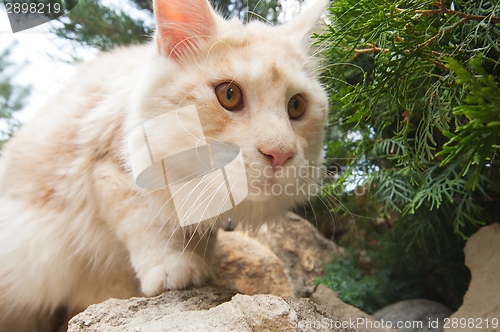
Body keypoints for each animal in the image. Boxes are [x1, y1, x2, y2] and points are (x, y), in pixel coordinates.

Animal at [0, 0, 328, 330]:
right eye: (229, 95)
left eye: (296, 106)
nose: (280, 154)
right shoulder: (108, 168)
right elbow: (145, 223)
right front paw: (173, 268)